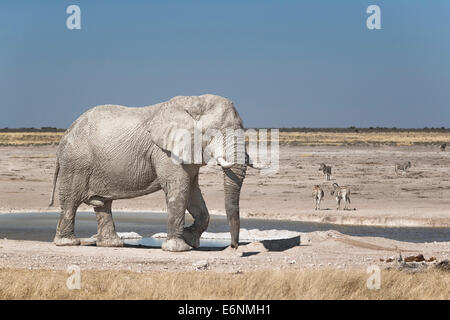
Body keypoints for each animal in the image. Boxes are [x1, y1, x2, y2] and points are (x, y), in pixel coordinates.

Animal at [49, 95, 262, 252]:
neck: (193, 102)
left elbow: (192, 191)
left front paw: (190, 241)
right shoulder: (165, 152)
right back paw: (67, 243)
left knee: (103, 205)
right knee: (71, 201)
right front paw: (178, 248)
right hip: (76, 163)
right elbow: (179, 188)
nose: (233, 247)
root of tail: (66, 133)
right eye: (215, 132)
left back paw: (112, 244)